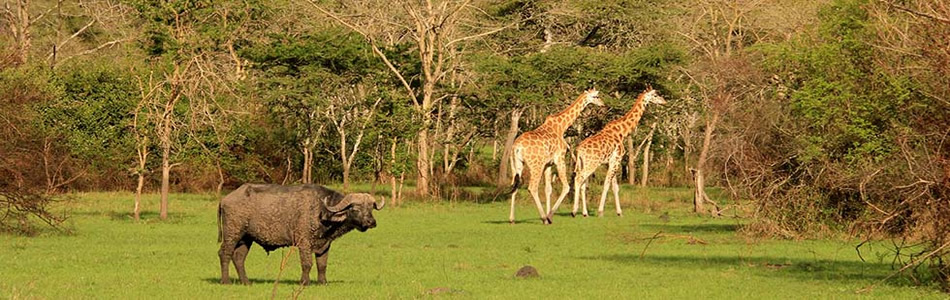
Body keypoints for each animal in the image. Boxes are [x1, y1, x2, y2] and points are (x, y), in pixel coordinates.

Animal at [510, 88, 608, 224]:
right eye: (596, 96)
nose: (604, 105)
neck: (561, 127)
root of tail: (516, 147)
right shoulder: (559, 158)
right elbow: (566, 187)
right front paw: (549, 216)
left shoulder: (548, 164)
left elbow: (548, 189)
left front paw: (548, 214)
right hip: (535, 165)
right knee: (532, 187)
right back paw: (543, 217)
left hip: (517, 165)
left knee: (514, 186)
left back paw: (512, 219)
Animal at [548, 88, 664, 219]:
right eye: (655, 95)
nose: (664, 101)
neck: (622, 132)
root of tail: (579, 151)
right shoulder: (617, 159)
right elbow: (607, 184)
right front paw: (600, 211)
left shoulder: (610, 162)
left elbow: (615, 187)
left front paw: (619, 212)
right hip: (592, 164)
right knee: (579, 179)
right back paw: (574, 211)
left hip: (583, 164)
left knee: (582, 183)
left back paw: (584, 213)